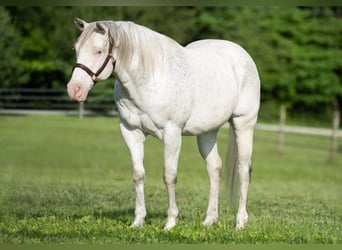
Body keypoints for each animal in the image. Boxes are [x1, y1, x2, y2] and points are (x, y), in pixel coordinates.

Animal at [67, 17, 260, 230]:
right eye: (76, 49)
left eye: (98, 51)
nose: (74, 89)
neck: (150, 78)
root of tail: (242, 54)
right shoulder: (130, 131)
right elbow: (138, 174)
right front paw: (138, 221)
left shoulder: (171, 133)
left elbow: (169, 176)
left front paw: (170, 223)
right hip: (207, 132)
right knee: (214, 168)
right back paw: (210, 219)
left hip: (243, 124)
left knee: (243, 170)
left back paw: (240, 222)